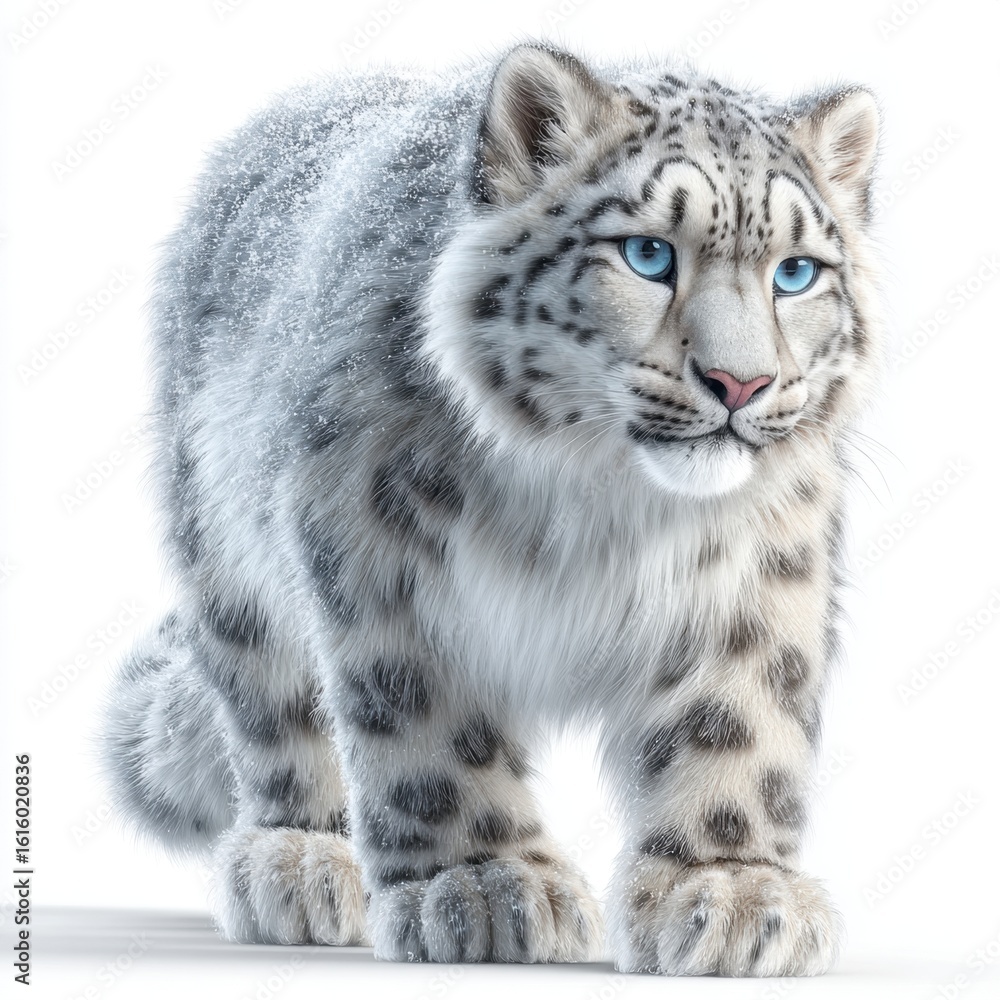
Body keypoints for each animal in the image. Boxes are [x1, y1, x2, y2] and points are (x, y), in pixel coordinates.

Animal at [99, 42, 882, 976]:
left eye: (796, 272)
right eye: (648, 254)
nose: (742, 383)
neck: (614, 506)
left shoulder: (764, 564)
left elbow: (739, 719)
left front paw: (728, 895)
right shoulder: (383, 552)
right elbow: (427, 732)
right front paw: (485, 887)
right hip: (225, 547)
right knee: (271, 700)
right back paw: (305, 859)